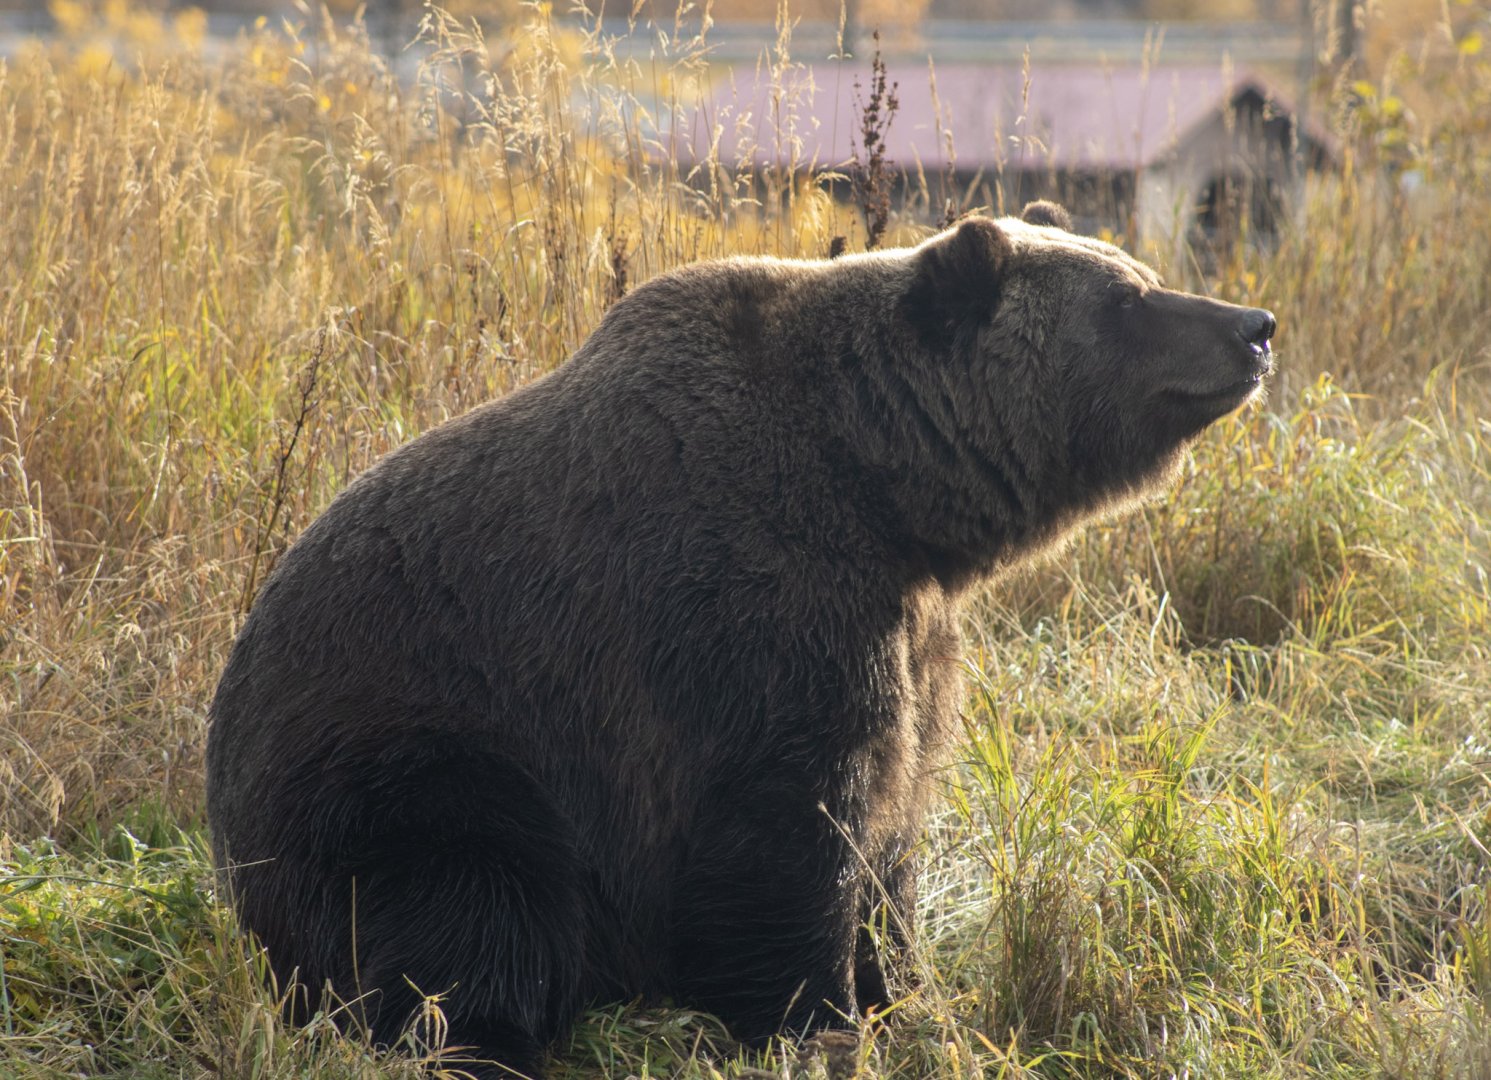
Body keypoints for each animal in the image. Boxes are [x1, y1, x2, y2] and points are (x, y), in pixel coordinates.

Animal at [206, 201, 1276, 1079]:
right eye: (1128, 299)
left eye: (1133, 268)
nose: (1253, 327)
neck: (883, 487)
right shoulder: (746, 616)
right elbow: (789, 831)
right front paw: (819, 1022)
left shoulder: (911, 634)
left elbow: (892, 830)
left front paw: (908, 994)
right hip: (412, 758)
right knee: (464, 909)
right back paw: (486, 1045)